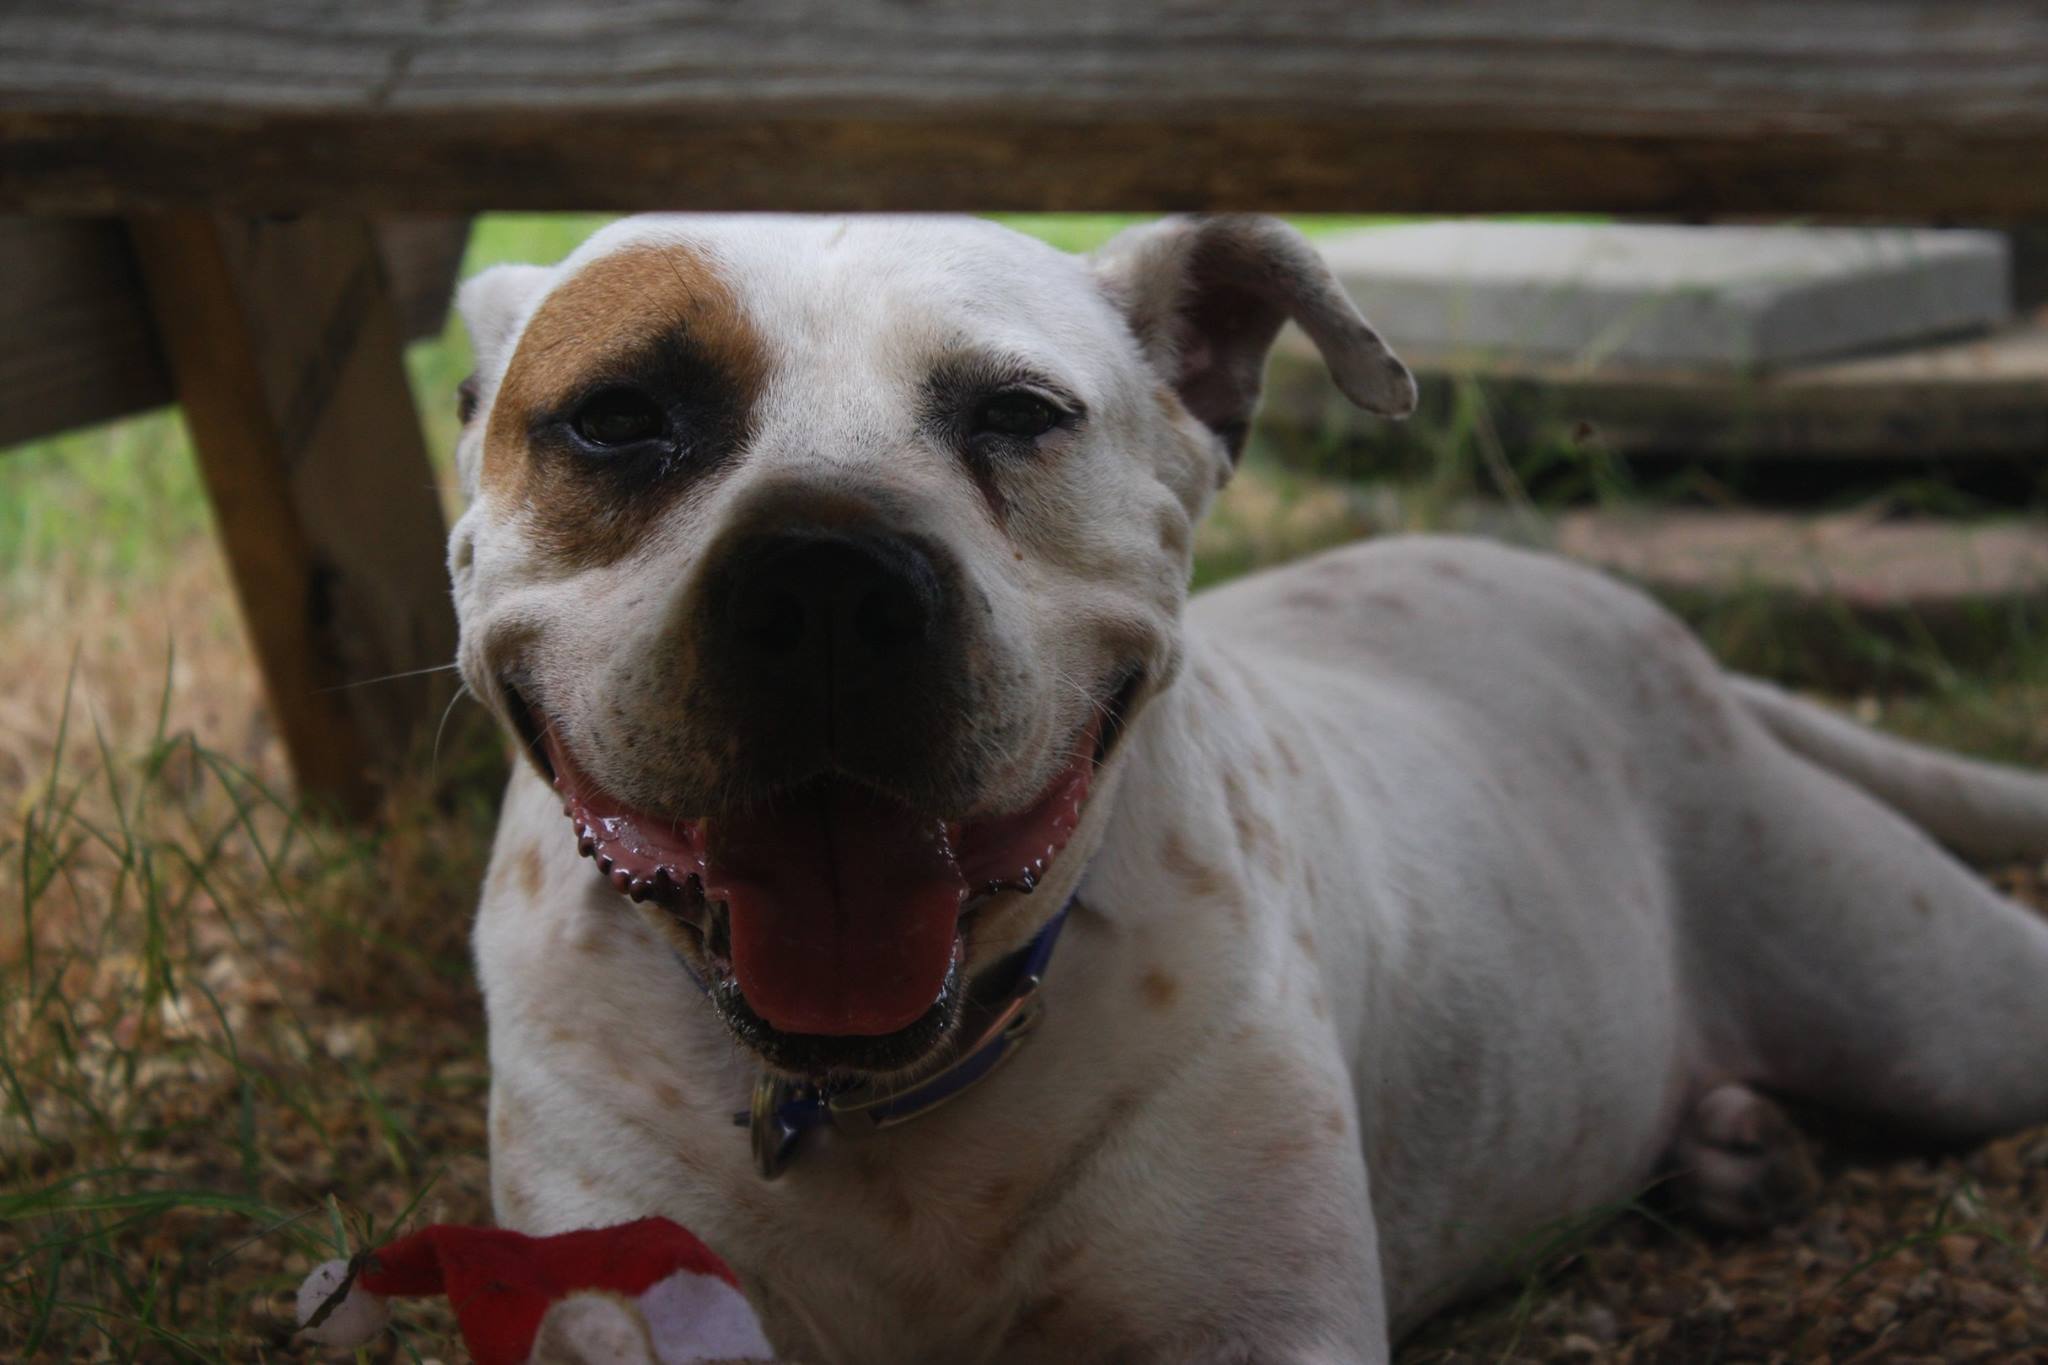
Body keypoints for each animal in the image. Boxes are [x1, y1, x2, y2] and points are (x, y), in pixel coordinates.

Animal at [448, 215, 2048, 1365]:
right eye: (615, 416)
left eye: (1020, 412)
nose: (831, 583)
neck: (879, 1092)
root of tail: (1660, 636)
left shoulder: (1259, 1321)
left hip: (1940, 1005)